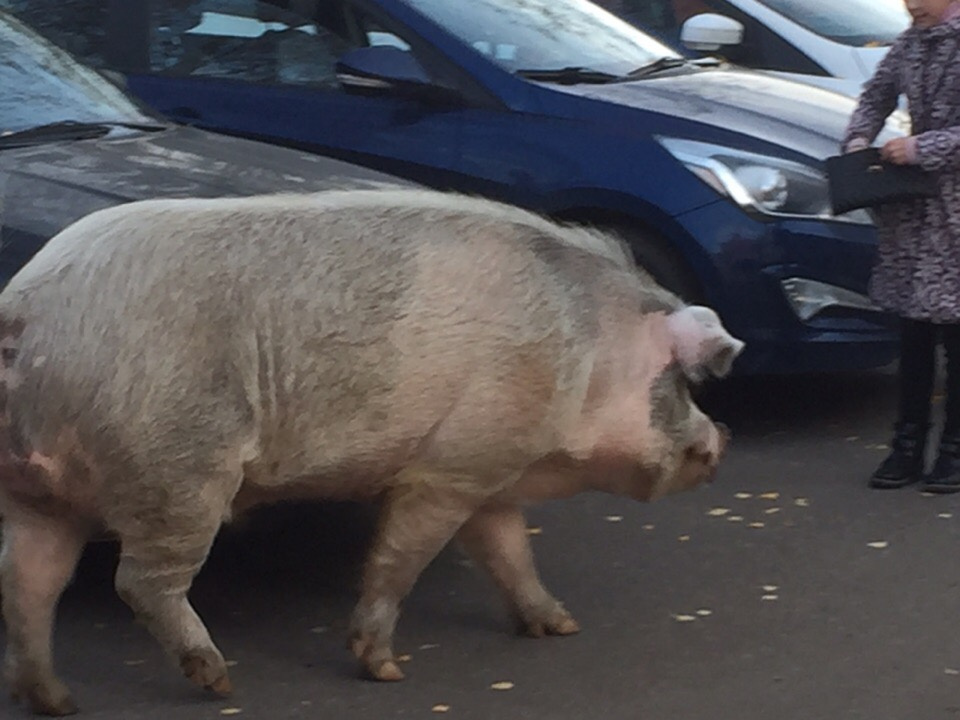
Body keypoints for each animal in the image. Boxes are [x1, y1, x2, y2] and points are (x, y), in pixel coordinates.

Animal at [0, 186, 744, 716]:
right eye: (681, 382)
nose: (722, 442)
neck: (589, 351)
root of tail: (25, 309)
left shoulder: (486, 463)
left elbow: (509, 551)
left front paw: (561, 627)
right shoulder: (447, 467)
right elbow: (401, 557)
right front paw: (385, 669)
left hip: (39, 491)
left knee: (28, 583)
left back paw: (58, 702)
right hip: (177, 470)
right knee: (139, 582)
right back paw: (220, 682)